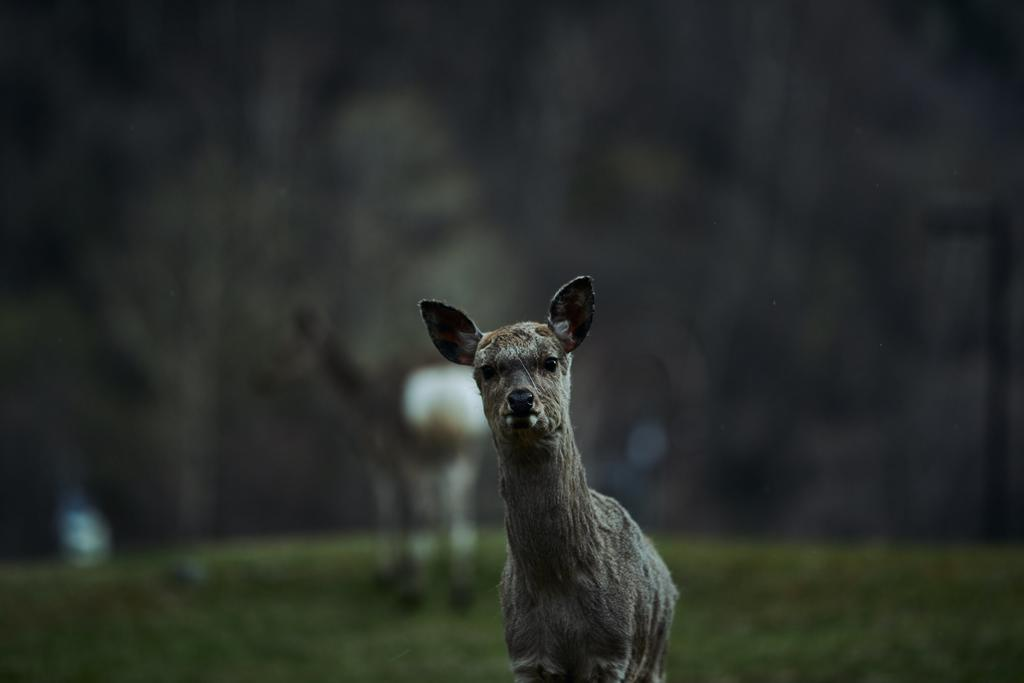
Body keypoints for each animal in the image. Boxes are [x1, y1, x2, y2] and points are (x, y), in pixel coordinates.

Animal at [419, 276, 675, 683]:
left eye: (550, 361)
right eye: (486, 370)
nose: (522, 400)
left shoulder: (614, 654)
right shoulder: (525, 654)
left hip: (654, 663)